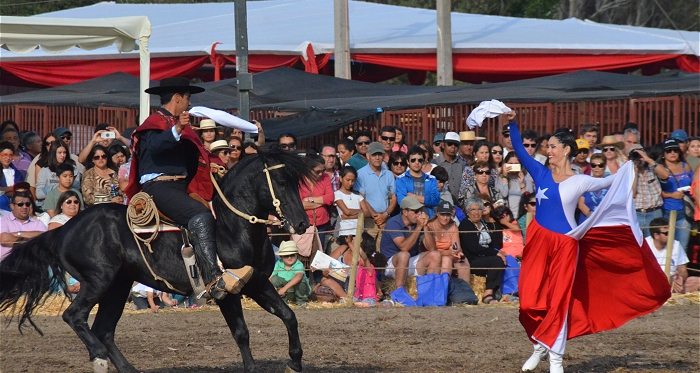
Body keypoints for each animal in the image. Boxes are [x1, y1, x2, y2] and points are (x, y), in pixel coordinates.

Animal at [0, 150, 312, 372]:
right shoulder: (226, 292)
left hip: (117, 286)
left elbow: (289, 316)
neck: (231, 227)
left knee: (103, 329)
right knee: (74, 317)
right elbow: (241, 332)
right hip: (97, 281)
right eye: (281, 183)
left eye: (296, 183)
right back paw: (98, 357)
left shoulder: (258, 284)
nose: (302, 223)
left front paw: (295, 361)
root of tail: (64, 230)